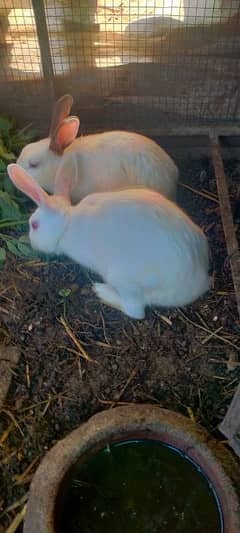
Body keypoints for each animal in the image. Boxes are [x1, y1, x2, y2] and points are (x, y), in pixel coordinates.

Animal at [7, 160, 210, 318]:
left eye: (34, 225)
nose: (33, 243)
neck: (67, 223)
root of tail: (198, 283)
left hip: (122, 278)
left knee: (136, 311)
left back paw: (102, 291)